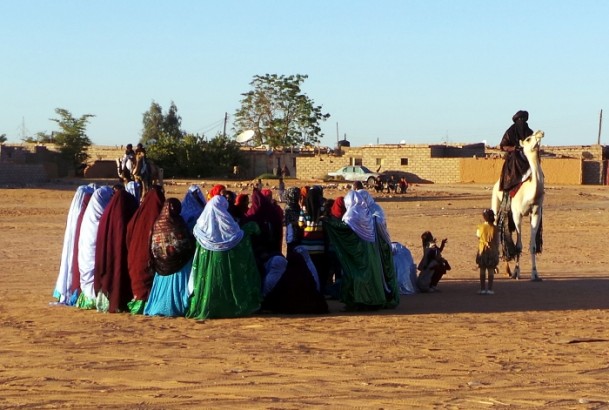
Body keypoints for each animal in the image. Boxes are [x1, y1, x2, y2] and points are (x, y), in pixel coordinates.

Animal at [492, 130, 544, 280]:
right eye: (528, 139)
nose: (540, 133)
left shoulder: (536, 213)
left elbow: (533, 246)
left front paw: (535, 274)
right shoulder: (517, 214)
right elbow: (518, 245)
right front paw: (517, 272)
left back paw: (507, 270)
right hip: (496, 204)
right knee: (496, 227)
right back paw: (497, 268)